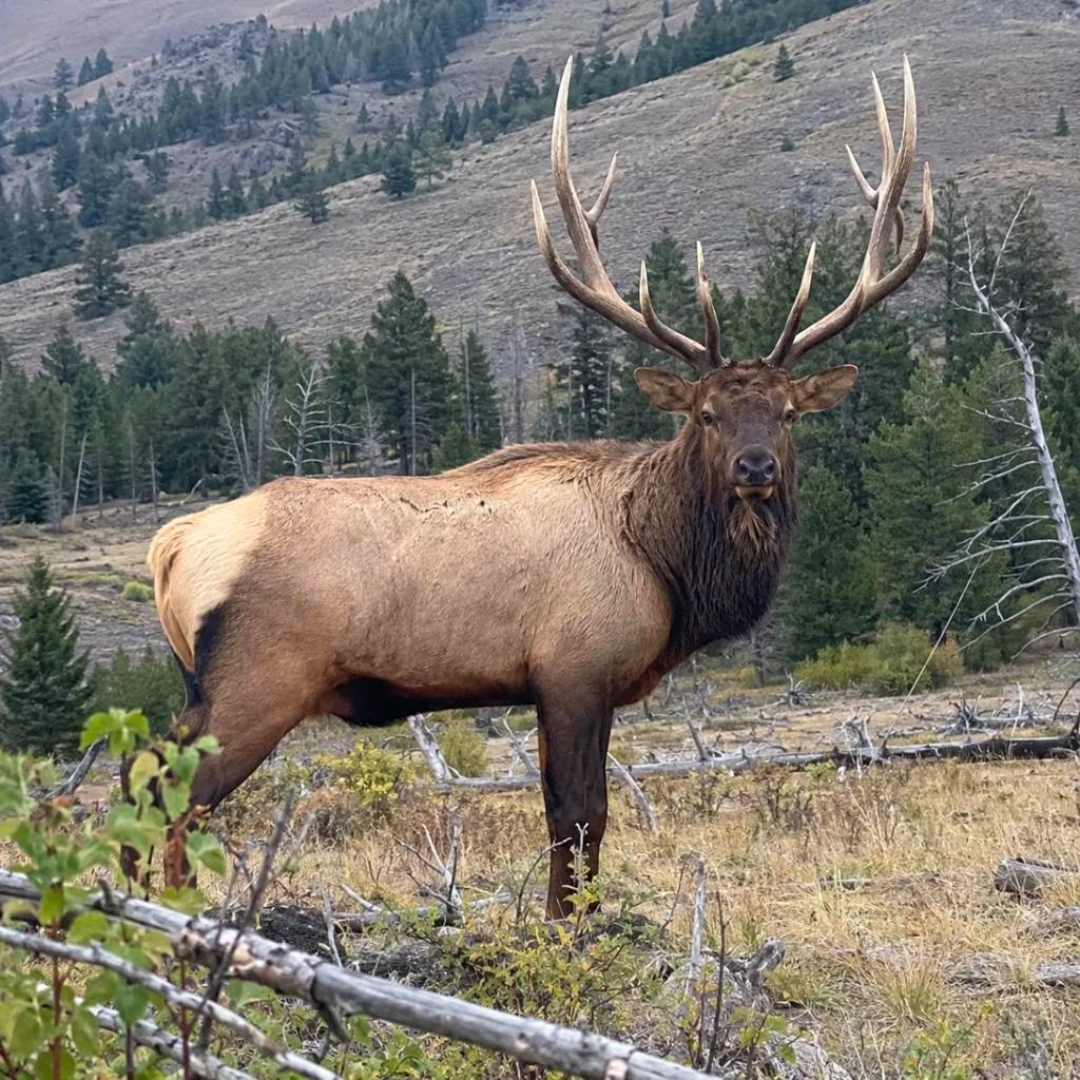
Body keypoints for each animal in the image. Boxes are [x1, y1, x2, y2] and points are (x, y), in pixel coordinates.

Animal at [143, 58, 932, 919]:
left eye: (787, 413)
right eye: (707, 414)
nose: (754, 469)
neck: (664, 565)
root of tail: (174, 545)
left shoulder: (568, 686)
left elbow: (571, 821)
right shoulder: (575, 668)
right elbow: (581, 814)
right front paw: (570, 931)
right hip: (255, 682)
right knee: (166, 796)